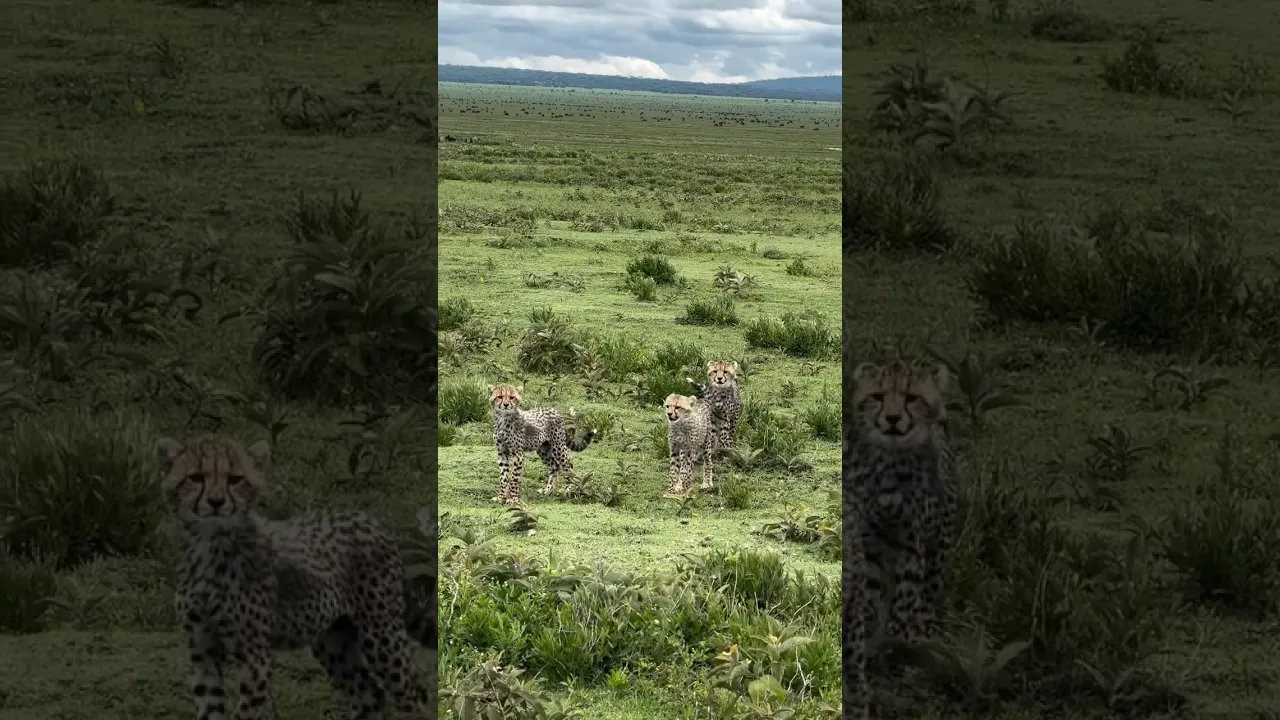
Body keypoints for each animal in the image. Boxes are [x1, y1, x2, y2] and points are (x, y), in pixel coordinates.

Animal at [157, 434, 433, 720]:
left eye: (234, 479)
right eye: (195, 478)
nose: (215, 502)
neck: (209, 544)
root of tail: (370, 519)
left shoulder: (254, 655)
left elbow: (245, 710)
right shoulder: (202, 649)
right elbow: (209, 707)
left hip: (380, 635)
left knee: (413, 693)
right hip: (333, 641)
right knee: (370, 695)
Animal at [846, 360, 955, 677]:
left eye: (912, 398)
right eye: (878, 396)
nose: (892, 419)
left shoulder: (912, 542)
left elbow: (906, 594)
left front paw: (899, 636)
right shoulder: (870, 541)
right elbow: (873, 593)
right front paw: (872, 634)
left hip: (938, 541)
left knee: (928, 588)